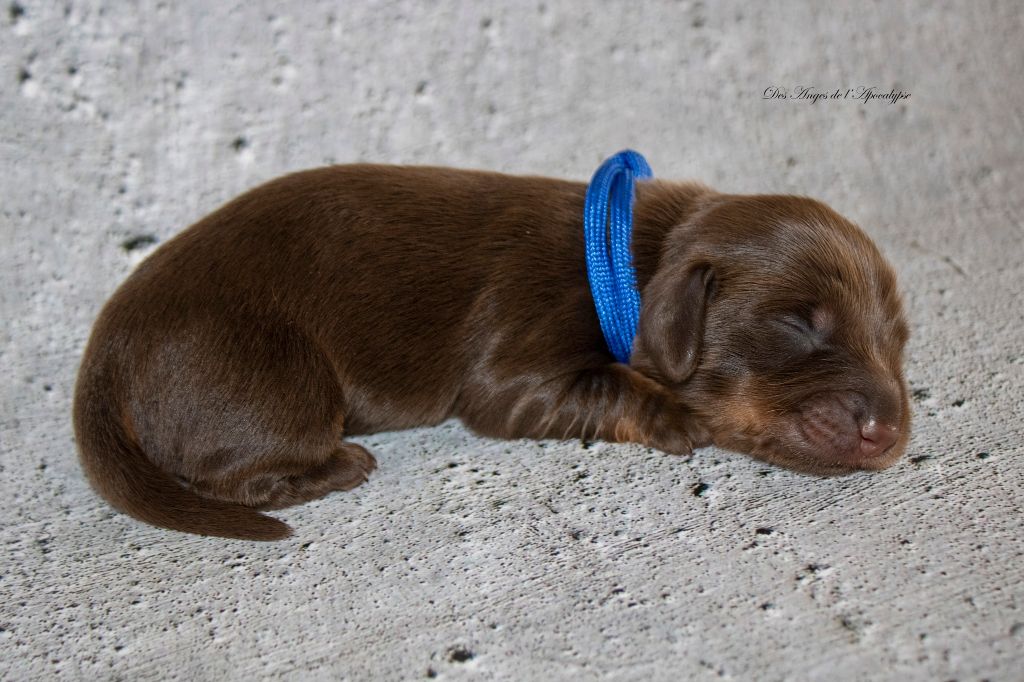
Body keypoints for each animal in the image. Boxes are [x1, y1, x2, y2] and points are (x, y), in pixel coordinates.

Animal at [73, 163, 911, 540]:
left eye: (898, 337)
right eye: (800, 324)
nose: (893, 434)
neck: (632, 258)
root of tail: (104, 353)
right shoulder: (516, 355)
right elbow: (597, 385)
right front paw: (679, 418)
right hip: (282, 385)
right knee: (230, 474)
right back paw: (339, 466)